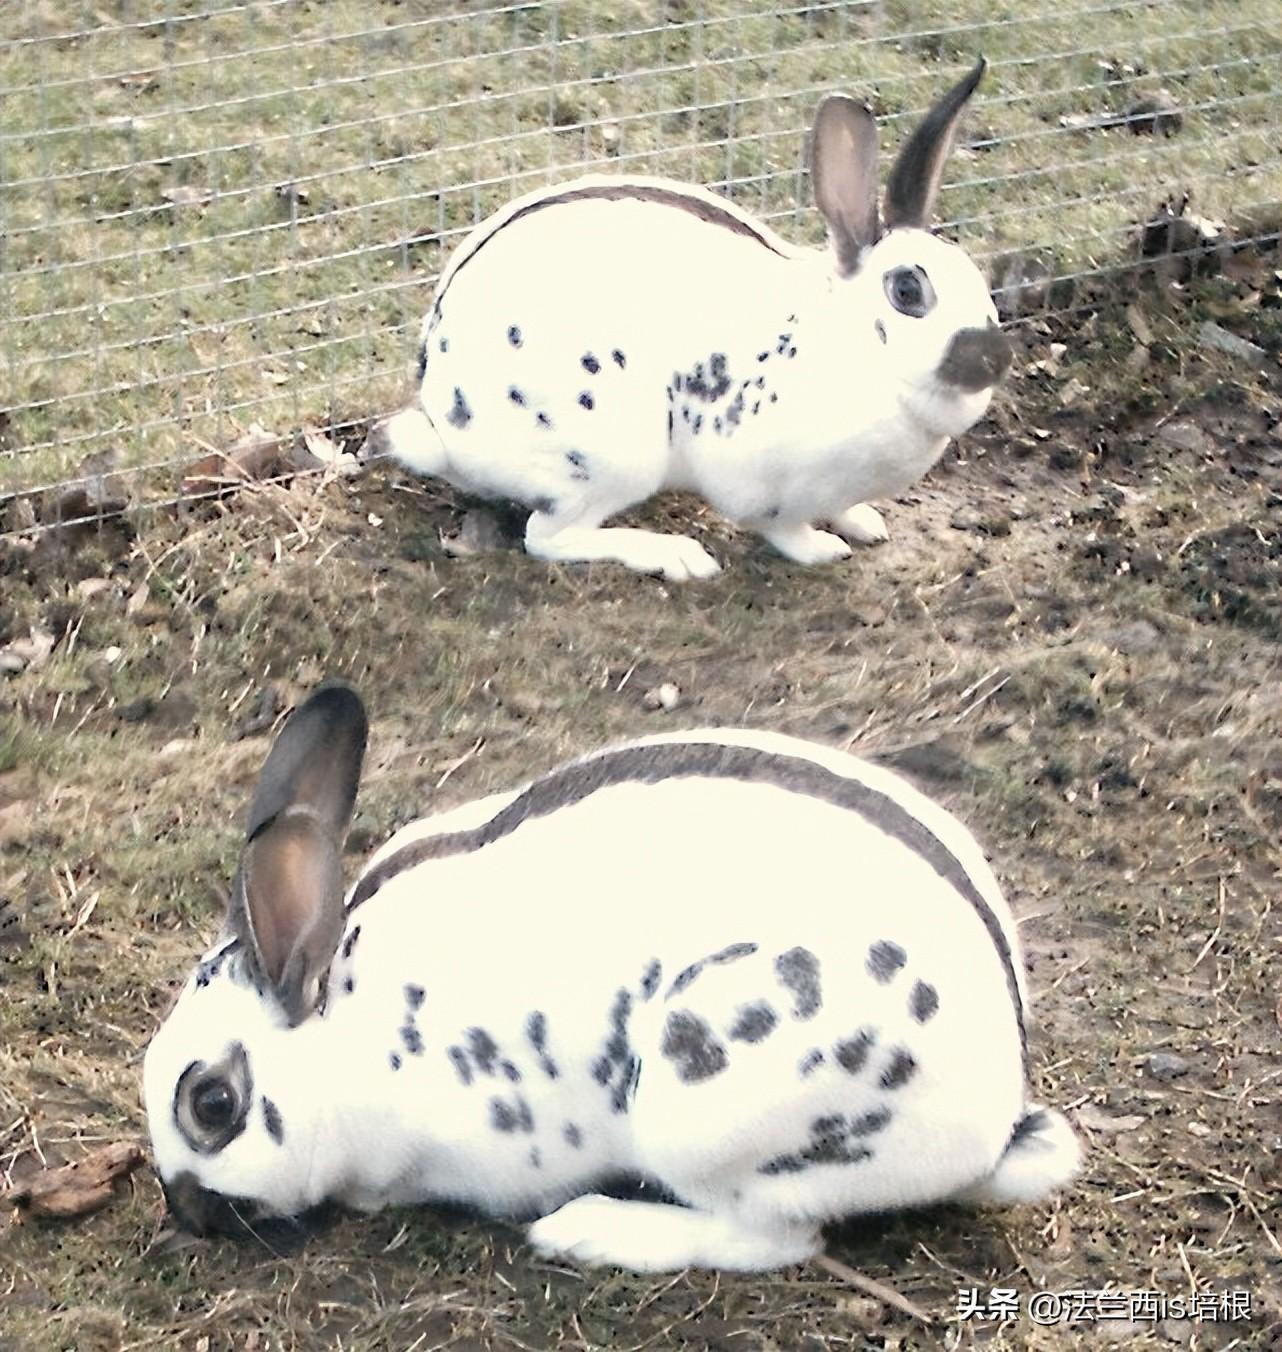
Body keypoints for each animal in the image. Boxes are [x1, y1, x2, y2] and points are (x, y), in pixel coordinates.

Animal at [142, 692, 1081, 1270]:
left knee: (775, 1237)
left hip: (702, 1106)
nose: (189, 1214)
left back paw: (591, 1233)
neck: (343, 1035)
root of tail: (998, 1121)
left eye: (211, 1104)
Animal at [367, 60, 1011, 578]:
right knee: (548, 538)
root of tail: (445, 427)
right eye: (908, 290)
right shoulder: (758, 481)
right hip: (610, 459)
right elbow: (783, 528)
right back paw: (678, 556)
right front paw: (824, 549)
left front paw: (865, 522)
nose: (994, 358)